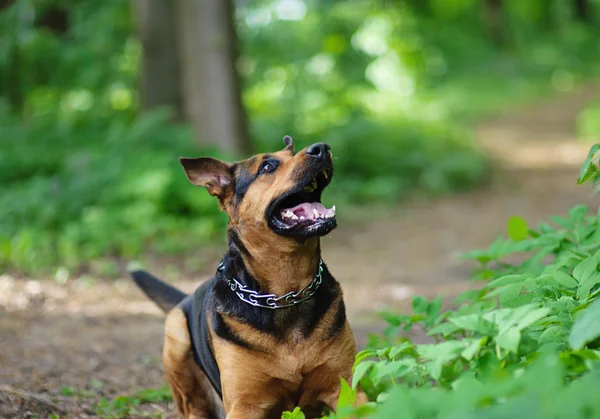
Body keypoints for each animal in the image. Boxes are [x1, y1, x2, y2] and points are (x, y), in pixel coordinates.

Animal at [130, 136, 366, 418]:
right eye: (267, 167)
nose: (322, 148)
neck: (286, 292)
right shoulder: (245, 403)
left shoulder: (346, 385)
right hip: (176, 333)